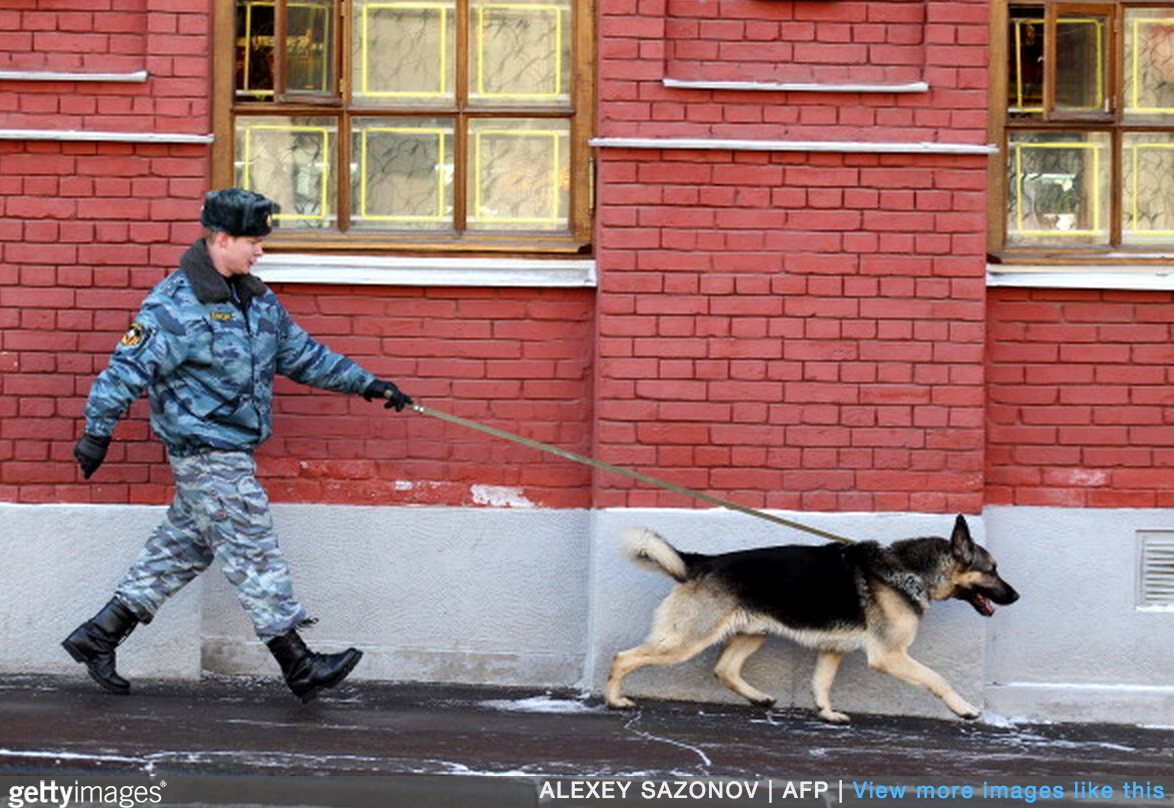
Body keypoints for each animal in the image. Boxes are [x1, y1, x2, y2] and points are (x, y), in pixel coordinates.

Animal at [605, 516, 1019, 728]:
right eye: (992, 570)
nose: (1015, 597)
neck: (909, 571)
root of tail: (701, 560)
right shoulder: (890, 656)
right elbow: (938, 678)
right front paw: (964, 709)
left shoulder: (832, 649)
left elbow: (821, 683)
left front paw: (826, 712)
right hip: (686, 641)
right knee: (622, 658)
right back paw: (614, 699)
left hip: (752, 634)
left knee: (725, 669)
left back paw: (759, 697)